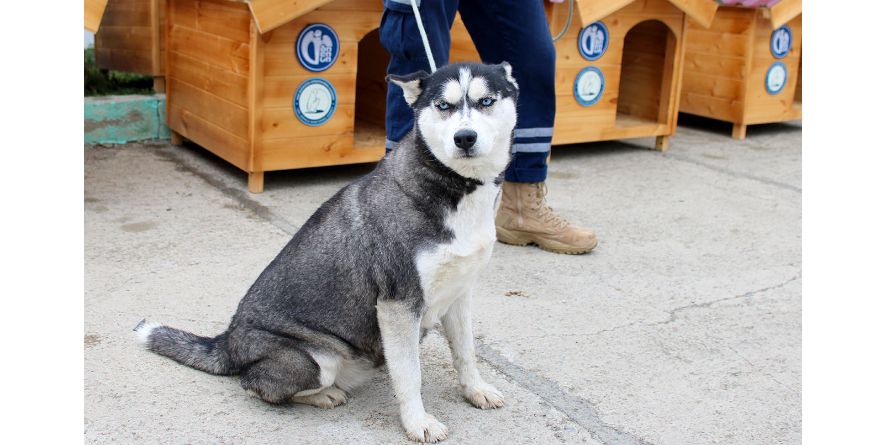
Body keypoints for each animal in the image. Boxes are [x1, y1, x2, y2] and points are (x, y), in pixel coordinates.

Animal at [138, 61, 520, 440]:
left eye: (486, 101)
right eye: (443, 106)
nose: (464, 137)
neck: (456, 185)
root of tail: (227, 341)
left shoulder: (459, 294)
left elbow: (466, 352)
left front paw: (475, 390)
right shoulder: (398, 304)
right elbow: (410, 375)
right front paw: (417, 422)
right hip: (317, 359)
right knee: (256, 384)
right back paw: (324, 395)